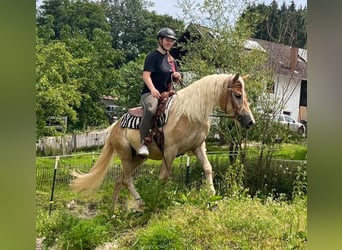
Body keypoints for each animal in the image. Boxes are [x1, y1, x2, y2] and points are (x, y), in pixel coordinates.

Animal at [71, 73, 255, 209]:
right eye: (238, 95)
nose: (250, 121)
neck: (190, 113)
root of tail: (115, 126)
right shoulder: (170, 150)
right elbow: (163, 177)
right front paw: (157, 201)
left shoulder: (198, 146)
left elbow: (208, 168)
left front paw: (212, 197)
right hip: (125, 155)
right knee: (128, 180)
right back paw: (142, 203)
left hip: (138, 158)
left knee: (120, 180)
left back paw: (113, 212)